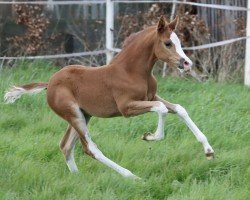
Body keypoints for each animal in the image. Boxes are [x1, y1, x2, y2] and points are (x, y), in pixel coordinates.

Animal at [4, 16, 214, 178]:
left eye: (179, 43)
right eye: (168, 43)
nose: (187, 63)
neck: (132, 71)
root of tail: (49, 83)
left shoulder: (151, 96)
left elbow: (179, 108)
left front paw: (208, 151)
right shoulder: (127, 107)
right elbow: (161, 109)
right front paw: (150, 136)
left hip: (83, 115)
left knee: (66, 146)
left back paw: (77, 178)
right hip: (74, 115)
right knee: (90, 148)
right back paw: (131, 176)